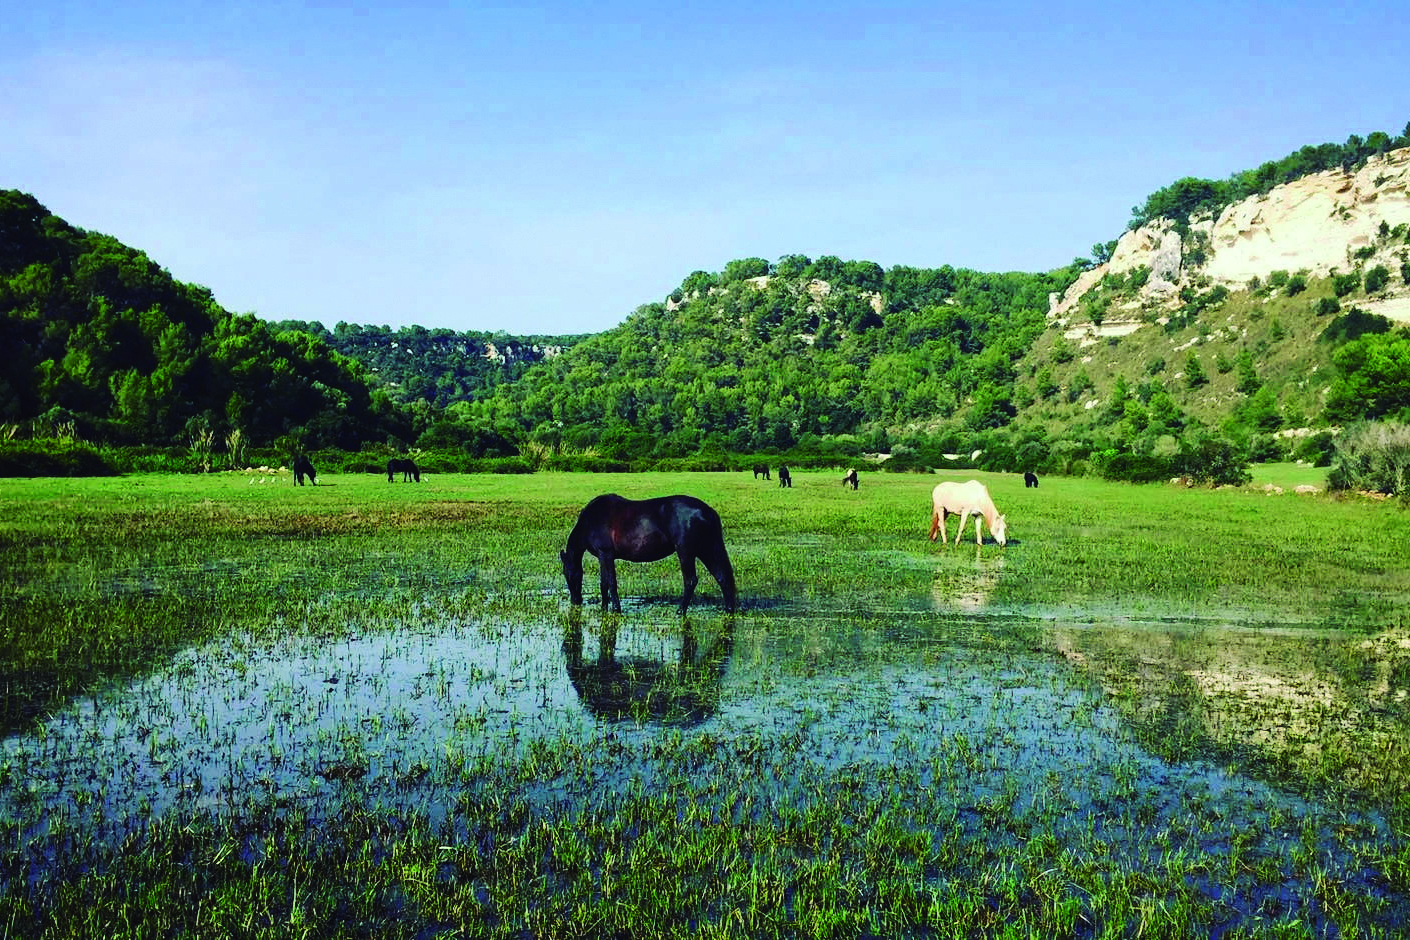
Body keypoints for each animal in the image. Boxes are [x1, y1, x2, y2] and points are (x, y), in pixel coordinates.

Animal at [558, 493, 744, 617]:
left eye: (569, 574)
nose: (576, 601)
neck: (592, 519)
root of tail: (707, 511)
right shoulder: (603, 557)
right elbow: (604, 583)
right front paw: (604, 608)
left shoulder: (606, 554)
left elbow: (611, 582)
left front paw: (616, 609)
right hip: (706, 550)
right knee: (722, 576)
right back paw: (728, 610)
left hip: (686, 552)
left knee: (691, 580)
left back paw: (680, 611)